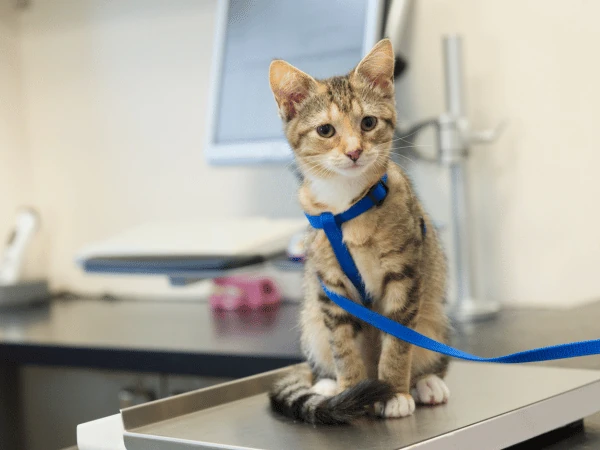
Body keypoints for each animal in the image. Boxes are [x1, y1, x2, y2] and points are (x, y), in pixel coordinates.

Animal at [268, 38, 450, 426]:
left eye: (368, 122)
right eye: (325, 130)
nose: (354, 151)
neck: (346, 205)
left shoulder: (405, 275)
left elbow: (398, 342)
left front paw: (394, 393)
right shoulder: (331, 289)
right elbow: (343, 346)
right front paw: (349, 390)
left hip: (434, 315)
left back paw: (426, 383)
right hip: (312, 321)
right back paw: (327, 385)